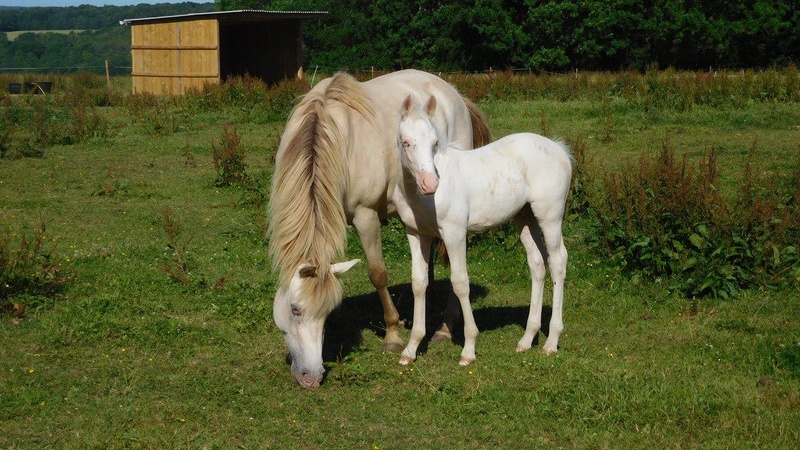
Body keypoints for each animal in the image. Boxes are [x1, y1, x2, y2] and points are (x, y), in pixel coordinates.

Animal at [270, 69, 494, 386]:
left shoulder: (366, 217)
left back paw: (445, 328)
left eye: (324, 312)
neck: (332, 137)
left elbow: (378, 274)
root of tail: (455, 94)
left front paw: (392, 335)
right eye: (295, 309)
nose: (310, 377)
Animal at [392, 95, 568, 366]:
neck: (418, 196)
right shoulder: (416, 233)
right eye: (406, 142)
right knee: (538, 264)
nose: (431, 184)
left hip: (550, 216)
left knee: (558, 261)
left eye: (435, 143)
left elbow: (460, 282)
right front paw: (410, 349)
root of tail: (560, 149)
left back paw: (551, 341)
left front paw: (469, 349)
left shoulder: (454, 232)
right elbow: (419, 283)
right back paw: (527, 339)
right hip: (525, 218)